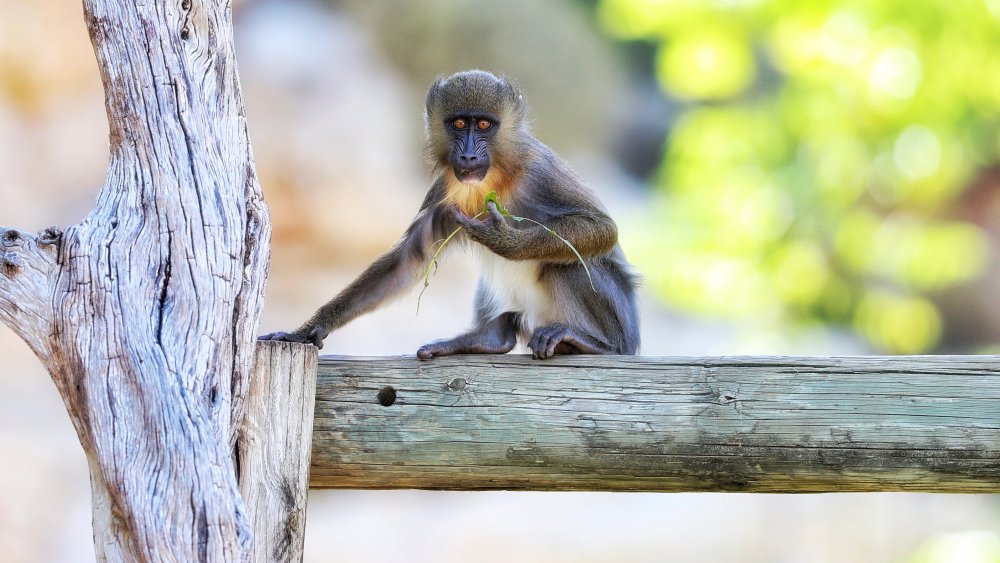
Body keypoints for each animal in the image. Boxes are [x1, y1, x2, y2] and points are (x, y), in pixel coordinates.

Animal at [259, 70, 640, 359]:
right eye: (458, 123)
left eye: (483, 125)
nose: (468, 156)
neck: (497, 175)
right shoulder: (444, 190)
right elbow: (407, 259)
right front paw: (306, 330)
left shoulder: (539, 171)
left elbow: (602, 228)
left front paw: (505, 241)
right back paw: (489, 337)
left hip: (618, 325)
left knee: (568, 261)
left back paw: (597, 344)